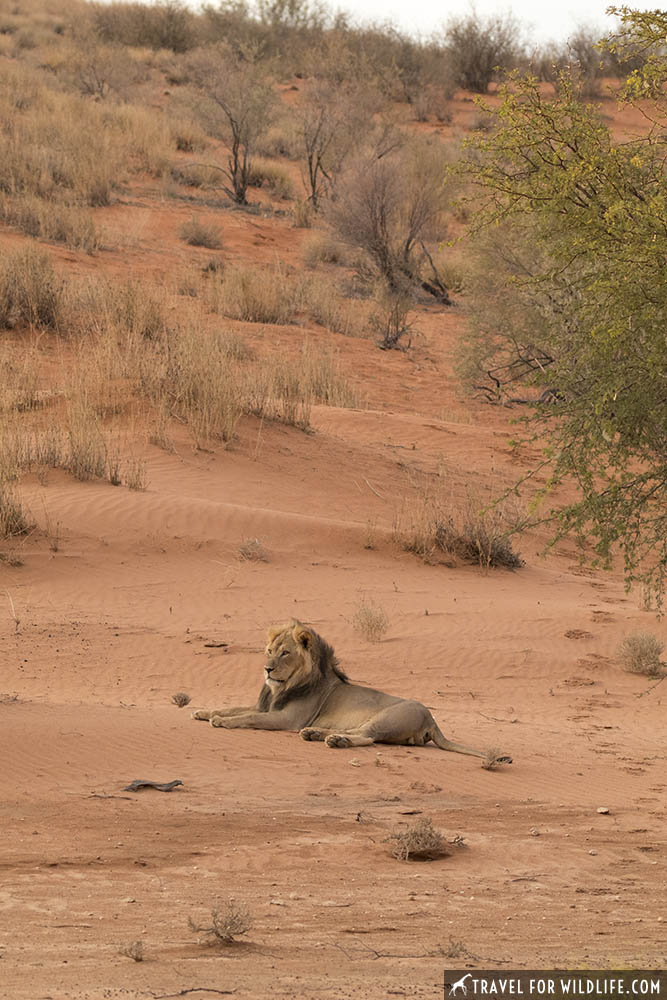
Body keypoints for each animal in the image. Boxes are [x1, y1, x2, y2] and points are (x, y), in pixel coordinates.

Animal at [190, 616, 516, 764]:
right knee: (356, 732)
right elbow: (234, 707)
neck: (283, 687)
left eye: (285, 653)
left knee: (367, 737)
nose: (267, 669)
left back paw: (334, 741)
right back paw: (318, 735)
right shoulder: (266, 706)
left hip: (387, 718)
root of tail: (432, 720)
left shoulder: (286, 719)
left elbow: (247, 718)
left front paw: (220, 721)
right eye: (269, 651)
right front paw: (203, 712)